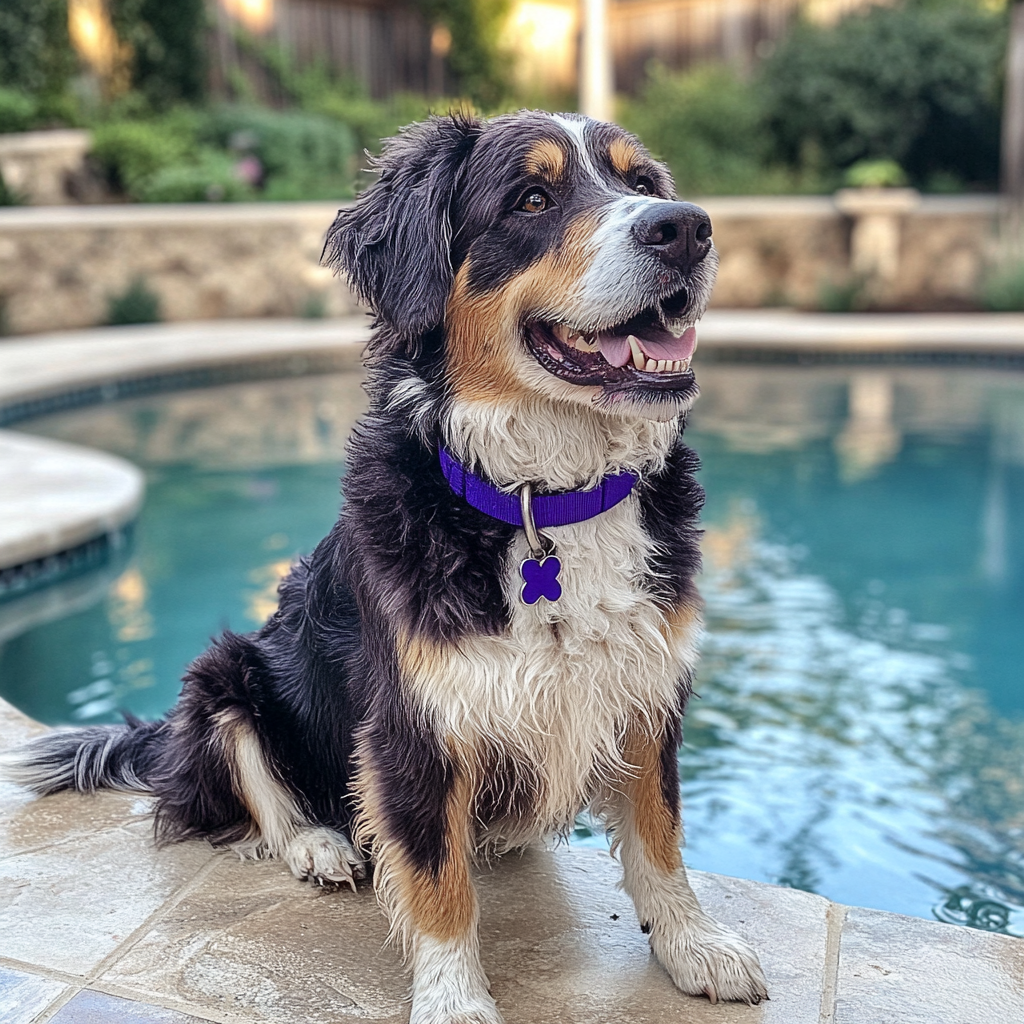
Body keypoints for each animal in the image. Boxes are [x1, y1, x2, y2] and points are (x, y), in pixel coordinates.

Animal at [2, 112, 770, 1024]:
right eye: (533, 198)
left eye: (643, 184)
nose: (686, 227)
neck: (544, 500)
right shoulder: (411, 724)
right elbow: (438, 883)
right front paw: (454, 1000)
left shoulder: (648, 690)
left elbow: (659, 836)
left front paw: (693, 945)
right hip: (225, 674)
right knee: (254, 801)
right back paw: (320, 844)